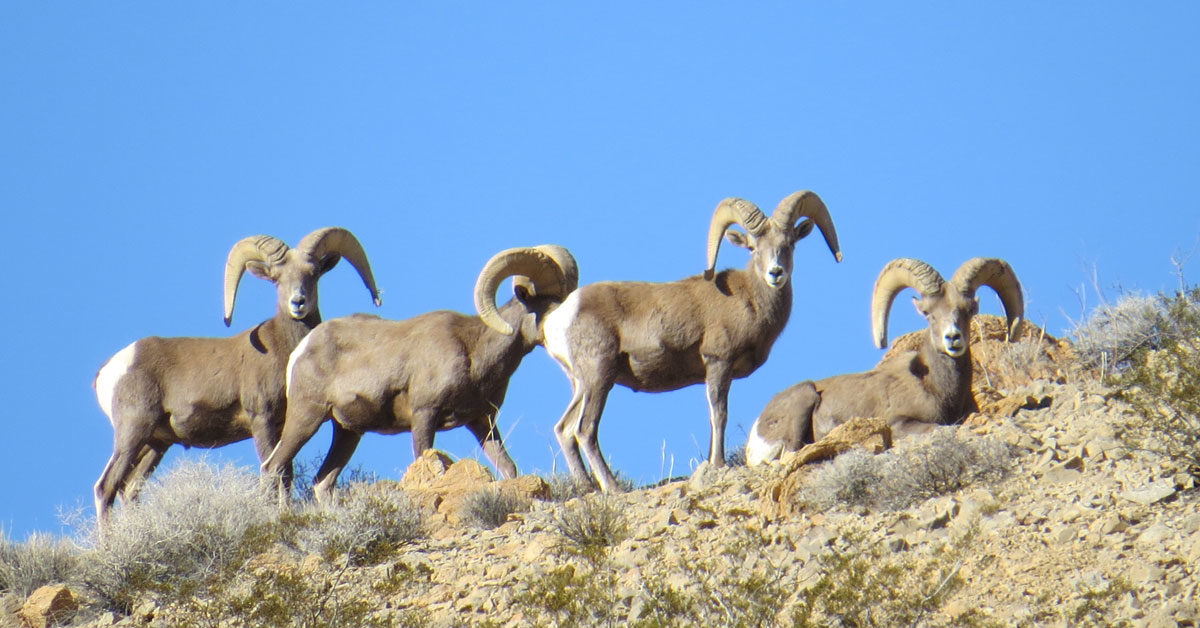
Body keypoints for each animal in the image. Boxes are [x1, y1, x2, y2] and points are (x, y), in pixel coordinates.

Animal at [93, 228, 379, 523]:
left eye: (312, 273)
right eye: (277, 278)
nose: (298, 302)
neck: (286, 351)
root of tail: (110, 369)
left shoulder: (283, 425)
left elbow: (286, 473)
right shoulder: (262, 420)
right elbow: (274, 471)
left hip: (155, 444)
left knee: (129, 489)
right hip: (133, 431)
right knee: (106, 487)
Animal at [264, 243, 580, 504]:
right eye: (552, 302)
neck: (474, 350)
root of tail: (303, 348)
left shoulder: (482, 422)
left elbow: (507, 467)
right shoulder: (425, 415)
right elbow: (426, 462)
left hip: (347, 432)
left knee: (322, 481)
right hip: (307, 416)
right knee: (274, 467)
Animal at [544, 192, 844, 492]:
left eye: (789, 244)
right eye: (753, 248)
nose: (776, 273)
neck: (749, 299)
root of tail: (559, 318)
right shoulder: (718, 363)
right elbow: (719, 414)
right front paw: (719, 464)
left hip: (582, 384)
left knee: (564, 429)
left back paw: (586, 486)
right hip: (599, 377)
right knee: (585, 429)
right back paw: (613, 487)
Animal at [748, 256, 1022, 465]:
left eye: (968, 311)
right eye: (929, 314)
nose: (953, 338)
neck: (937, 389)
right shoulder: (900, 424)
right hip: (803, 398)